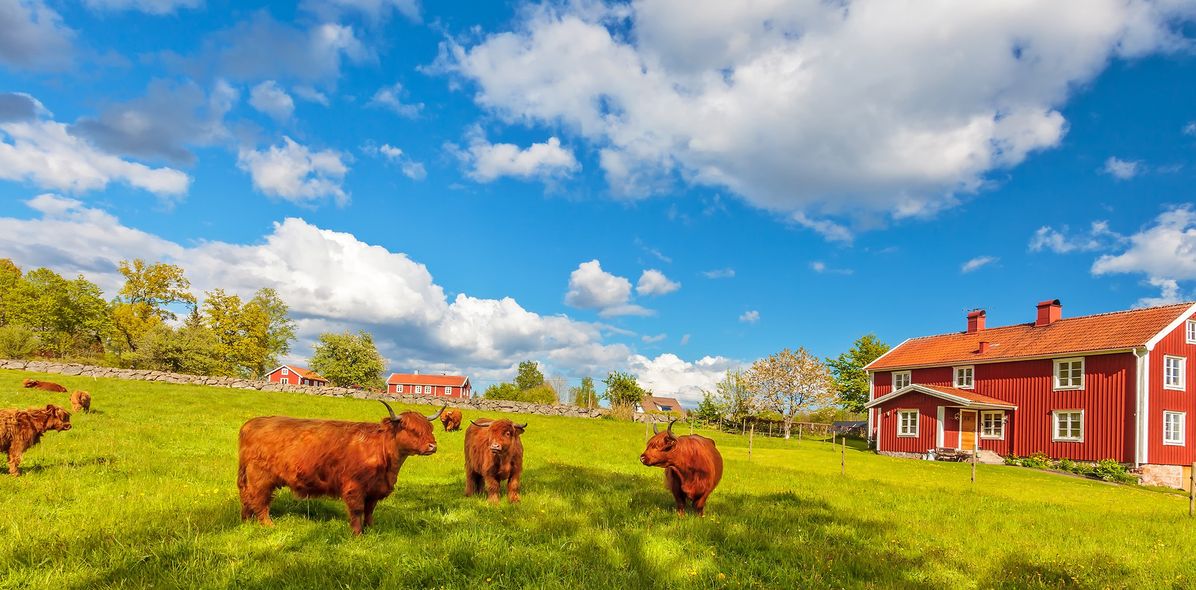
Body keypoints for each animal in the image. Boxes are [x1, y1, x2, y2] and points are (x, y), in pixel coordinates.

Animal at [235, 399, 442, 533]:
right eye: (412, 429)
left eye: (429, 428)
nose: (433, 446)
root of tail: (252, 423)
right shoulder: (355, 487)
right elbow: (357, 510)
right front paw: (357, 535)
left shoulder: (375, 489)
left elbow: (370, 510)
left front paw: (371, 529)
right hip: (260, 478)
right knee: (259, 500)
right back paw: (269, 525)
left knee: (247, 498)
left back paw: (246, 522)